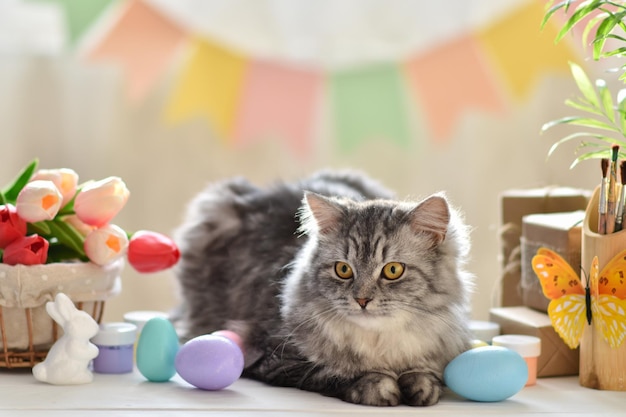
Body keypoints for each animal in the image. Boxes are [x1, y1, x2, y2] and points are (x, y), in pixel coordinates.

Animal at [173, 169, 470, 406]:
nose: (362, 300)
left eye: (393, 270)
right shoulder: (272, 355)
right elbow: (333, 372)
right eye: (343, 270)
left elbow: (425, 375)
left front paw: (421, 386)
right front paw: (378, 386)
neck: (378, 345)